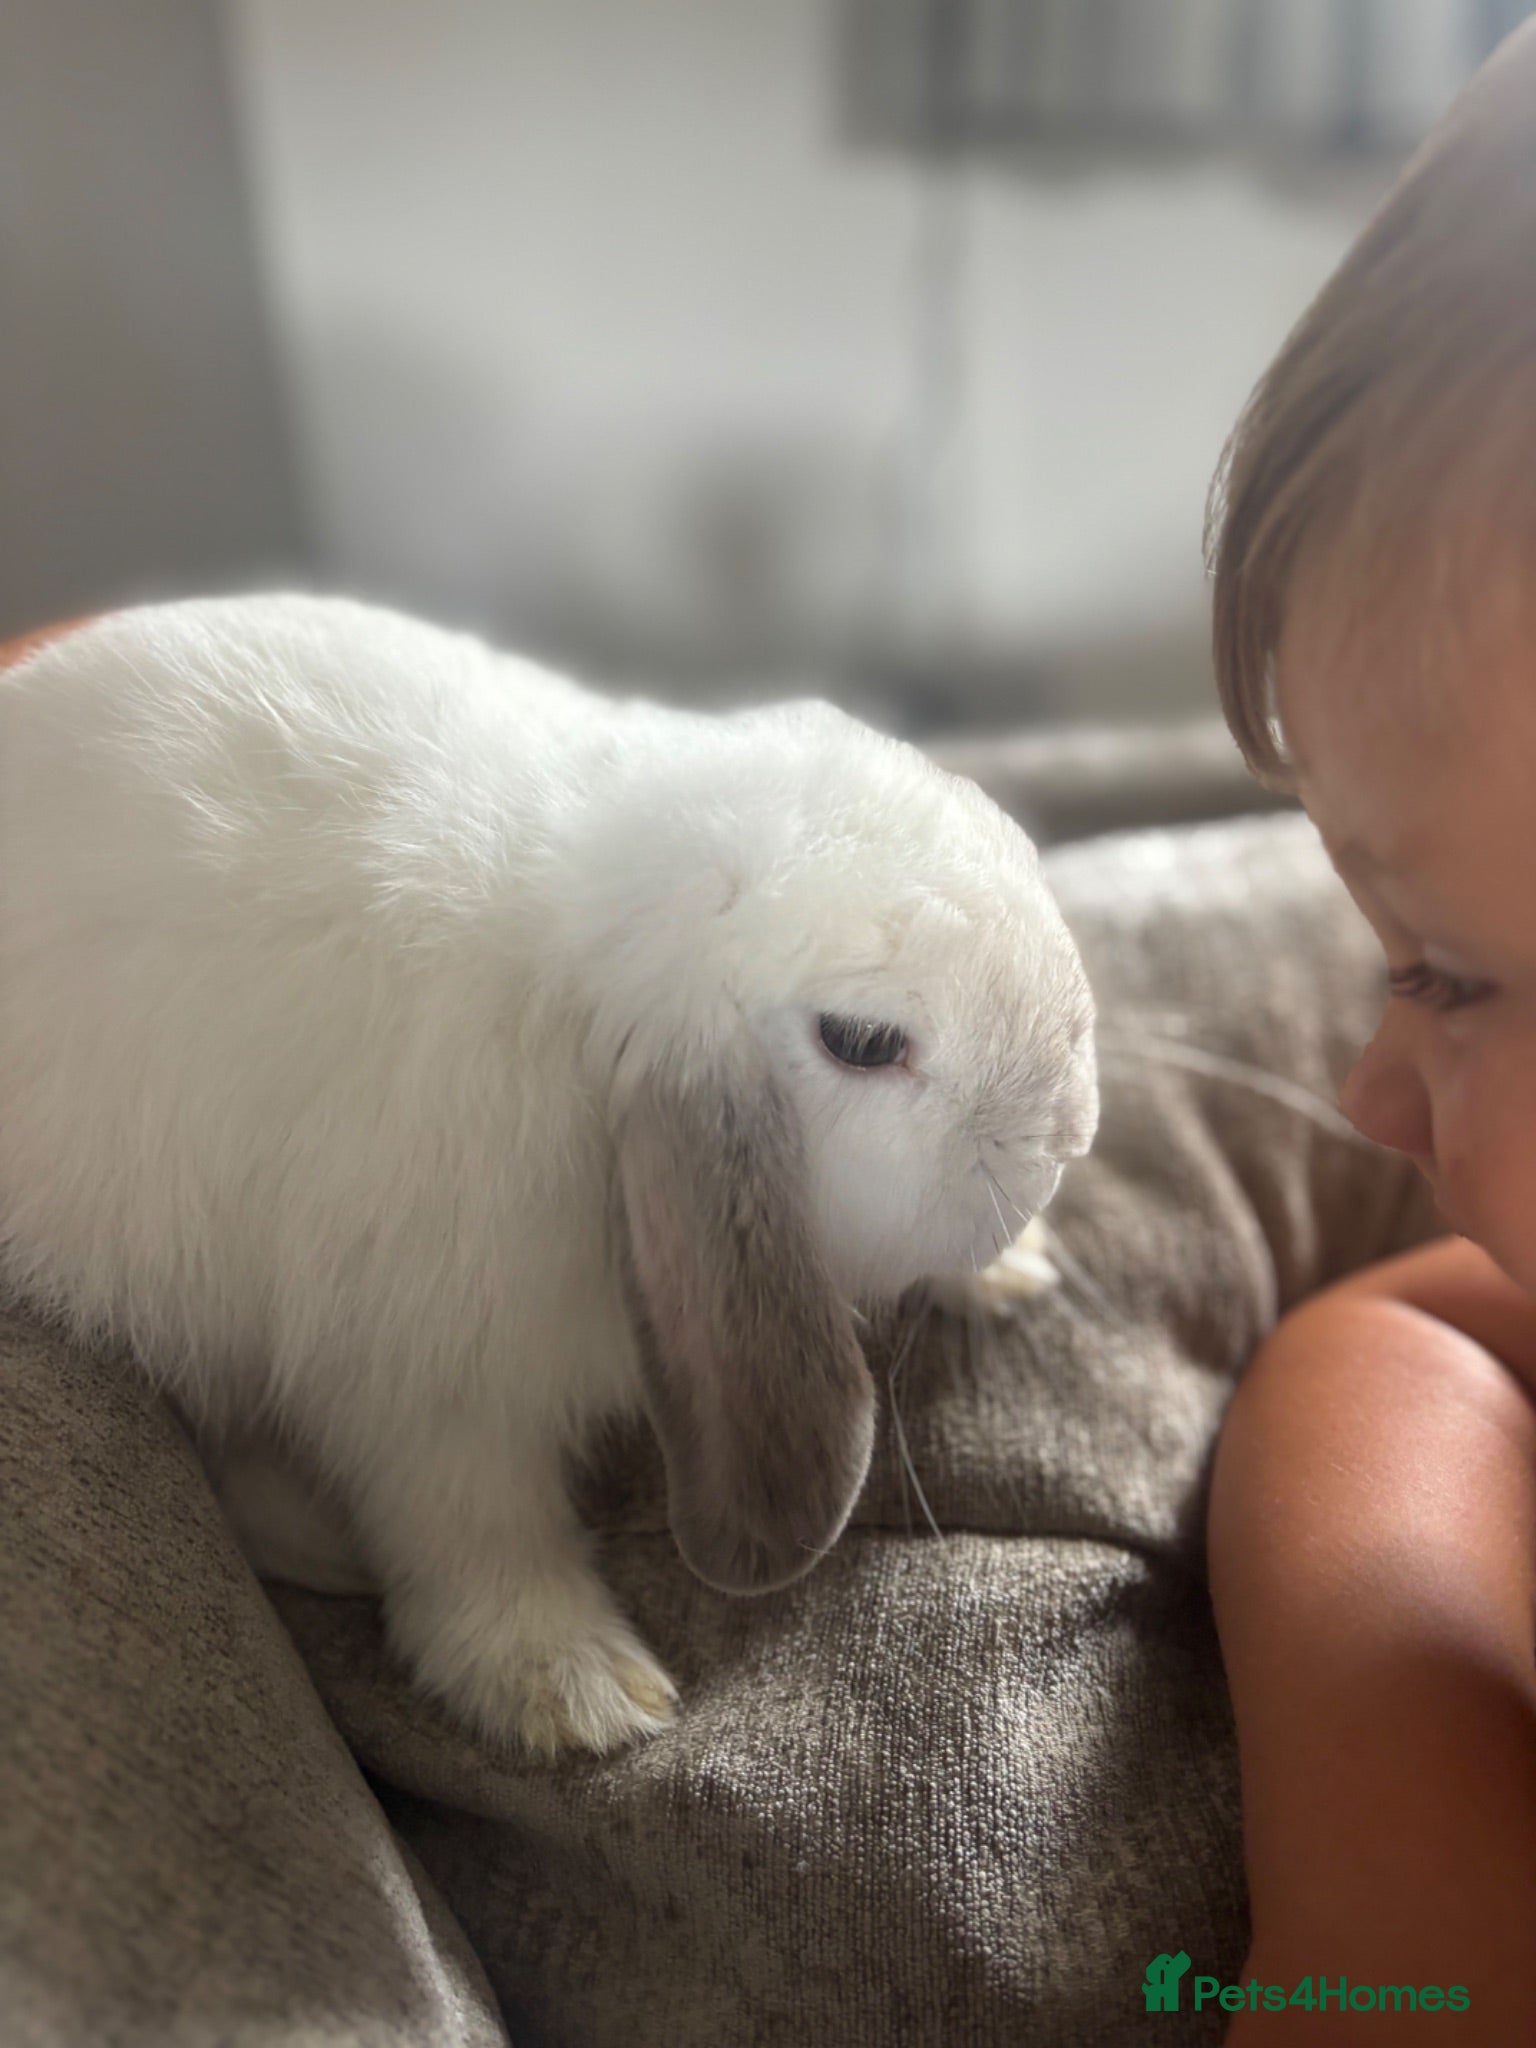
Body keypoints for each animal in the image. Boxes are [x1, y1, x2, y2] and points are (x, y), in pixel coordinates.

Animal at [0, 593, 1098, 1756]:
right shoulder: (424, 1377)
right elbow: (475, 1531)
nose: (1071, 1129)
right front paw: (580, 1695)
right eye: (862, 1041)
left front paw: (1018, 1268)